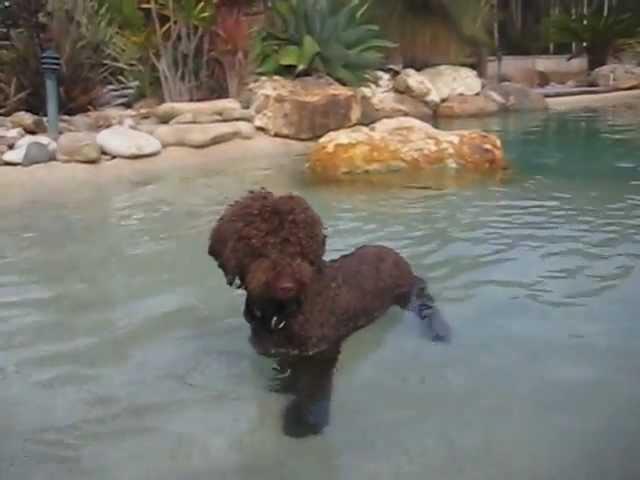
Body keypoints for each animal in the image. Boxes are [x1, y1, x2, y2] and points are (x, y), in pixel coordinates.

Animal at [208, 189, 448, 436]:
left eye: (299, 244)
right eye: (258, 243)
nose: (287, 285)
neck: (282, 311)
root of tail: (393, 252)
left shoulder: (321, 351)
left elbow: (314, 386)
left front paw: (305, 420)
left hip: (407, 294)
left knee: (426, 305)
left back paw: (439, 331)